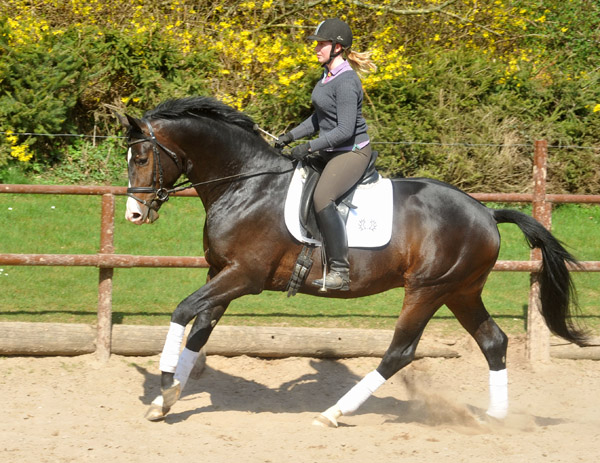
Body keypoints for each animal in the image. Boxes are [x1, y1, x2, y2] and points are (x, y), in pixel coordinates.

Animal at [117, 97, 584, 428]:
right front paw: (165, 401)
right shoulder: (222, 273)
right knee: (493, 342)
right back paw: (496, 418)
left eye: (141, 158)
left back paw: (334, 413)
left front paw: (164, 385)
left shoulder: (244, 276)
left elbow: (183, 313)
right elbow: (200, 331)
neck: (245, 185)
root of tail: (487, 212)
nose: (135, 215)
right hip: (461, 291)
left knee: (400, 352)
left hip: (428, 290)